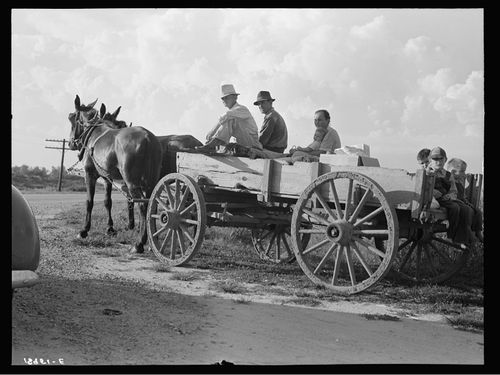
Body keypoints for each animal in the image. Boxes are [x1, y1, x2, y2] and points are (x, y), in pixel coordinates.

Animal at [67, 95, 162, 254]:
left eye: (72, 118)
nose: (70, 143)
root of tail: (148, 138)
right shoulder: (108, 178)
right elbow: (108, 202)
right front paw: (110, 228)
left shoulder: (90, 175)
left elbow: (89, 202)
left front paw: (84, 230)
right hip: (151, 182)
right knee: (151, 205)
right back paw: (151, 241)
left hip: (132, 182)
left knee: (142, 205)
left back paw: (139, 243)